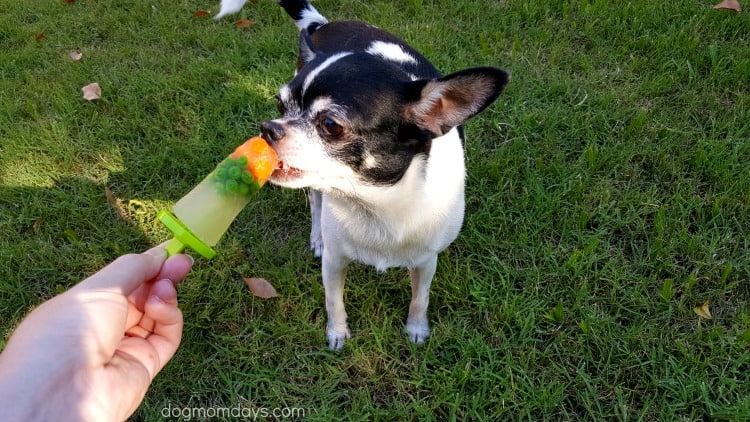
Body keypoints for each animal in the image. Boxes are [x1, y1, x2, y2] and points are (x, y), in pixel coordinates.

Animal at [217, 0, 512, 350]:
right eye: (280, 104)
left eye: (331, 125)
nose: (268, 128)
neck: (376, 203)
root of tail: (324, 24)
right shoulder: (334, 262)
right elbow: (334, 301)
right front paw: (337, 335)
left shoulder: (426, 261)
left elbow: (420, 298)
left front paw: (416, 329)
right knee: (315, 202)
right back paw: (316, 236)